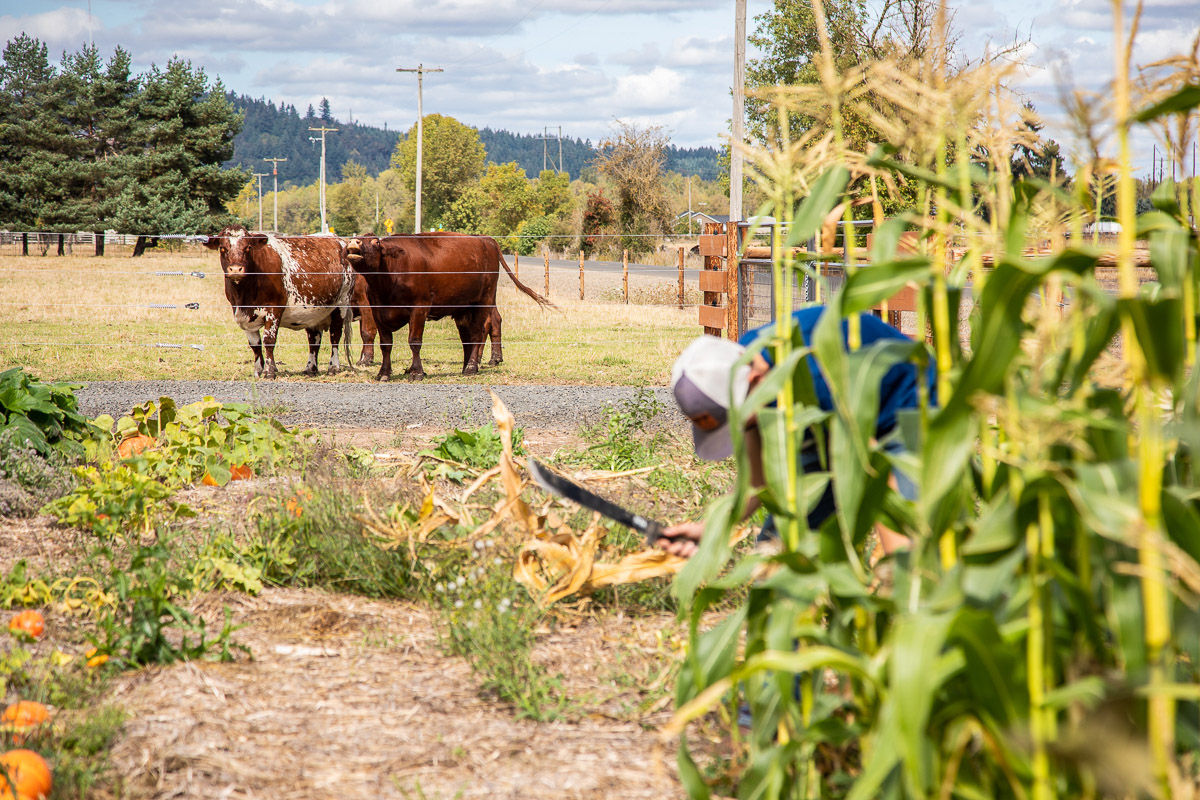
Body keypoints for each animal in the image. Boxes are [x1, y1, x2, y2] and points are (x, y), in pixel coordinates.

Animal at [204, 224, 352, 376]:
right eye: (222, 248)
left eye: (248, 247)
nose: (235, 269)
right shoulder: (243, 316)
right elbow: (255, 344)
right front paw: (258, 370)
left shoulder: (273, 309)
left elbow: (269, 340)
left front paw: (269, 371)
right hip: (313, 311)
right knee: (314, 339)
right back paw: (310, 368)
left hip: (342, 304)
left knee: (335, 335)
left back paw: (334, 367)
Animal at [348, 231, 552, 381]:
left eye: (375, 242)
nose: (354, 242)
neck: (389, 277)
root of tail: (486, 239)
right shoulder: (377, 312)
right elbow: (385, 345)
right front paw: (383, 373)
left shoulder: (419, 308)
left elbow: (414, 341)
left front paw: (416, 372)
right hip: (463, 309)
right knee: (467, 338)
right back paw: (468, 365)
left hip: (483, 300)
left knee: (479, 332)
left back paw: (471, 367)